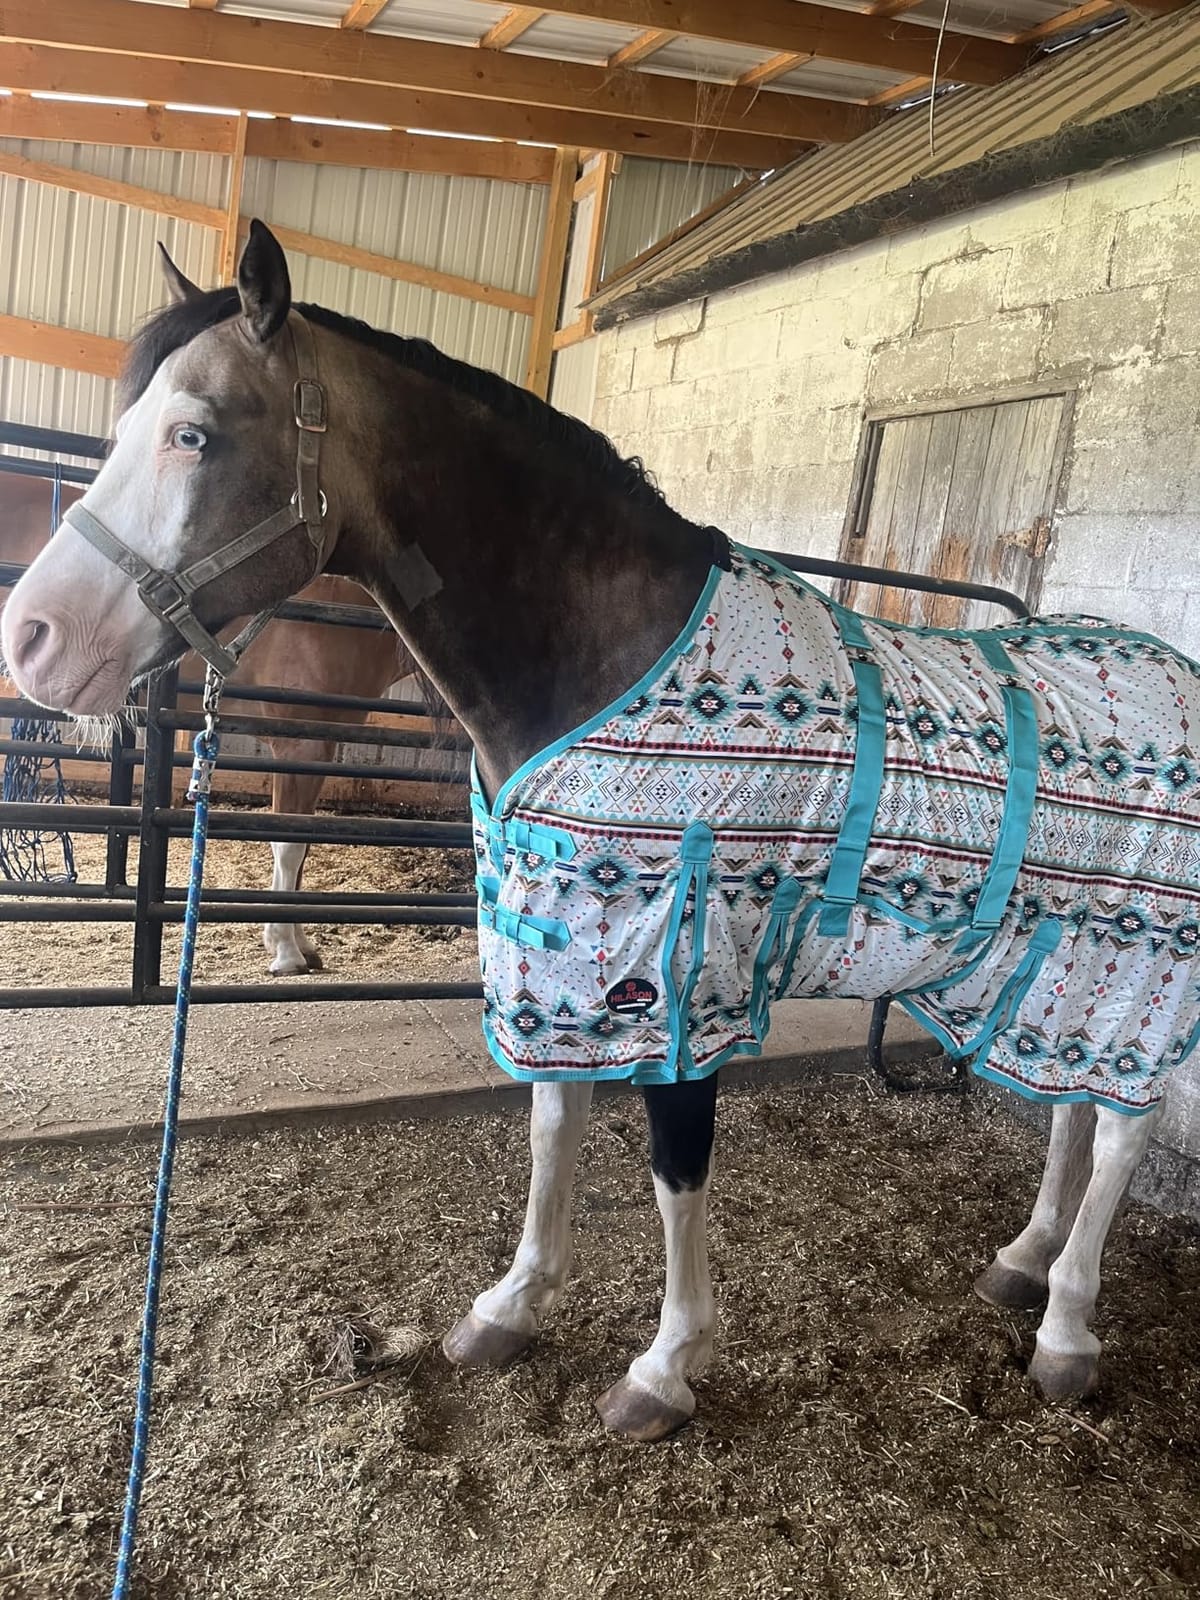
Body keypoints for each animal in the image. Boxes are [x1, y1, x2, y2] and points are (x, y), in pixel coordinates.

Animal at [0, 470, 407, 974]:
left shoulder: (317, 748)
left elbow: (302, 845)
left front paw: (299, 943)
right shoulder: (298, 745)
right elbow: (288, 845)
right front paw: (286, 951)